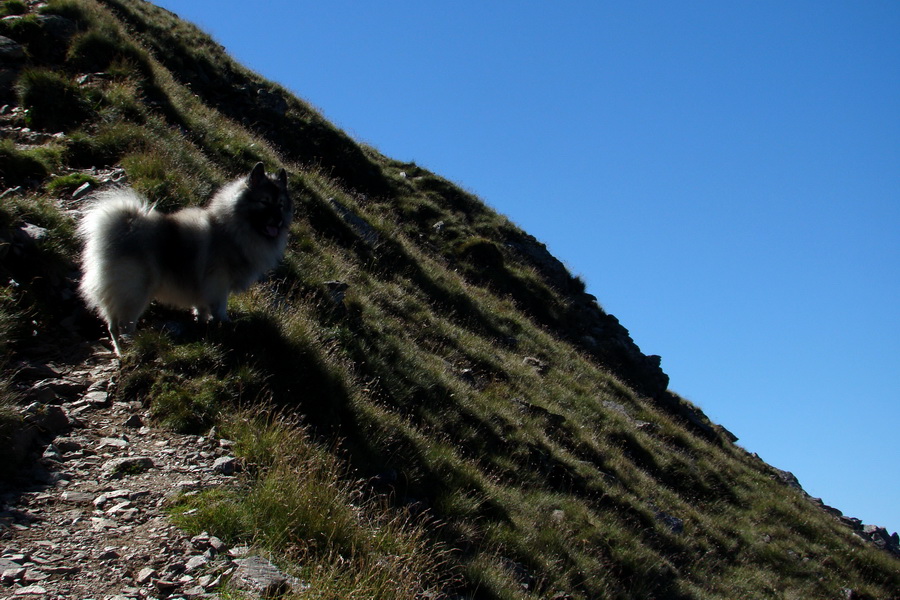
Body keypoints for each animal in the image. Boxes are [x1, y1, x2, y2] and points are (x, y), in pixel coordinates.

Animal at [78, 162, 292, 354]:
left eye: (281, 206)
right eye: (264, 202)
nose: (279, 220)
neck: (231, 230)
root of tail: (122, 227)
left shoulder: (204, 288)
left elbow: (202, 307)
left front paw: (203, 323)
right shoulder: (218, 283)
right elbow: (220, 307)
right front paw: (225, 324)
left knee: (112, 326)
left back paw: (121, 354)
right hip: (135, 293)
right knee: (124, 326)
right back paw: (133, 347)